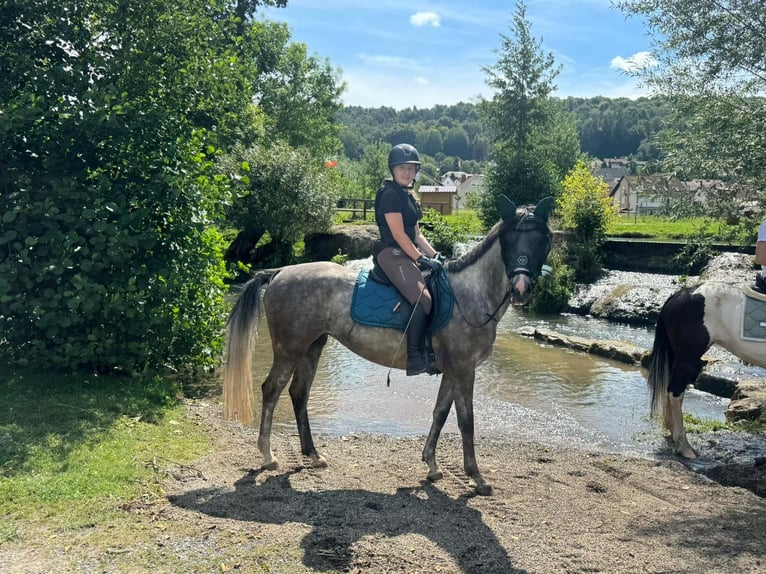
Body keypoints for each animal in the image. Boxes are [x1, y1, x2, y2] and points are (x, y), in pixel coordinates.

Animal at [225, 196, 556, 498]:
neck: (470, 295)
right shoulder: (464, 369)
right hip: (289, 349)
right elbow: (466, 421)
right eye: (508, 239)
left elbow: (440, 413)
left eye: (542, 240)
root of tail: (279, 273)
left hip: (312, 346)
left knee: (298, 393)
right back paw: (268, 456)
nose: (521, 288)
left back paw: (313, 455)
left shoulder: (453, 369)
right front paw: (477, 477)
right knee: (272, 390)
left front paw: (432, 465)